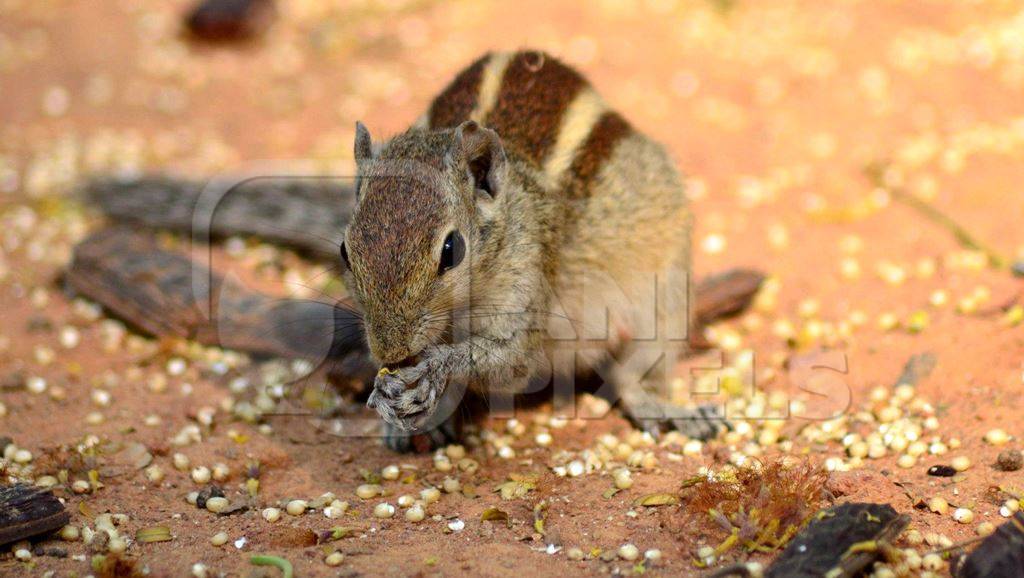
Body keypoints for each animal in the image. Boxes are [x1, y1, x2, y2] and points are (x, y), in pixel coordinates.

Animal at [339, 49, 724, 448]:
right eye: (344, 252)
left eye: (452, 250)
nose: (390, 350)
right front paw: (390, 397)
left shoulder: (527, 283)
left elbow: (513, 361)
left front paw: (433, 367)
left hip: (665, 298)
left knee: (630, 375)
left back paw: (668, 410)